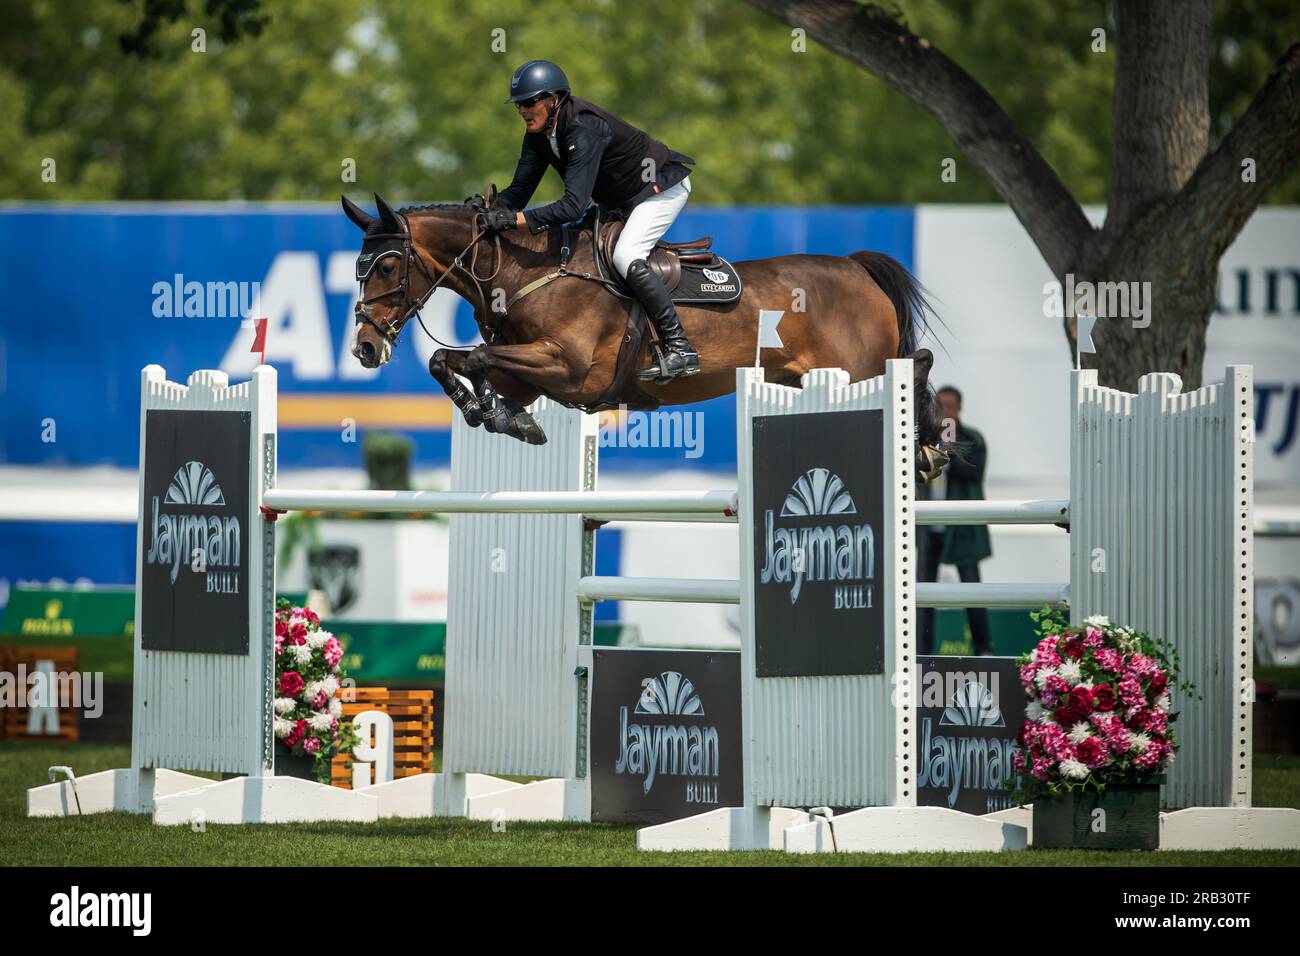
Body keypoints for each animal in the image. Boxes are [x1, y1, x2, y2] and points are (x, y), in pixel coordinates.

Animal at [340, 191, 951, 481]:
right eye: (358, 269)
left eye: (388, 267)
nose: (364, 349)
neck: (520, 271)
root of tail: (856, 268)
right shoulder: (531, 373)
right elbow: (454, 361)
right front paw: (498, 416)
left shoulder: (569, 370)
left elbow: (473, 357)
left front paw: (495, 415)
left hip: (861, 369)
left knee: (914, 365)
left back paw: (931, 446)